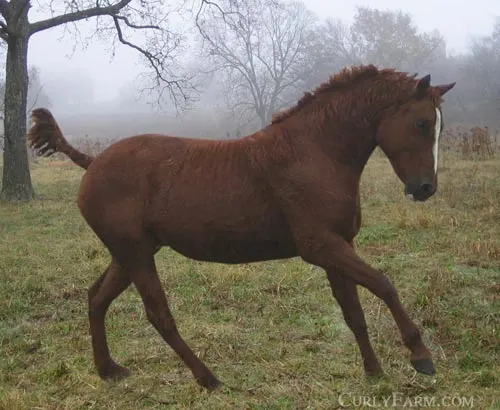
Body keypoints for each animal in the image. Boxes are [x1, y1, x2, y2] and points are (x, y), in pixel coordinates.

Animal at [28, 65, 458, 390]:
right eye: (422, 123)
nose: (425, 188)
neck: (315, 152)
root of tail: (93, 162)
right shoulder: (321, 246)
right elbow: (384, 284)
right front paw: (421, 357)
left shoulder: (339, 247)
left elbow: (353, 311)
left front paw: (374, 372)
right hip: (135, 254)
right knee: (157, 314)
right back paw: (207, 378)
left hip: (131, 254)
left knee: (96, 298)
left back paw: (109, 370)